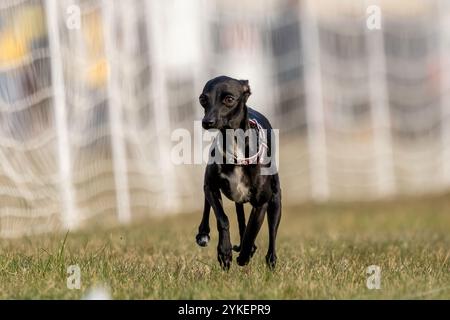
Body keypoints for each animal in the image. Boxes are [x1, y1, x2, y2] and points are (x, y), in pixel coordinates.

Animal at [196, 75, 284, 270]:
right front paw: (224, 252)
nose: (207, 122)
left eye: (229, 99)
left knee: (272, 232)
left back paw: (270, 259)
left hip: (275, 201)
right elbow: (223, 219)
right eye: (203, 99)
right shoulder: (211, 188)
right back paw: (203, 233)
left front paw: (243, 255)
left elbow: (252, 231)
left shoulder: (261, 203)